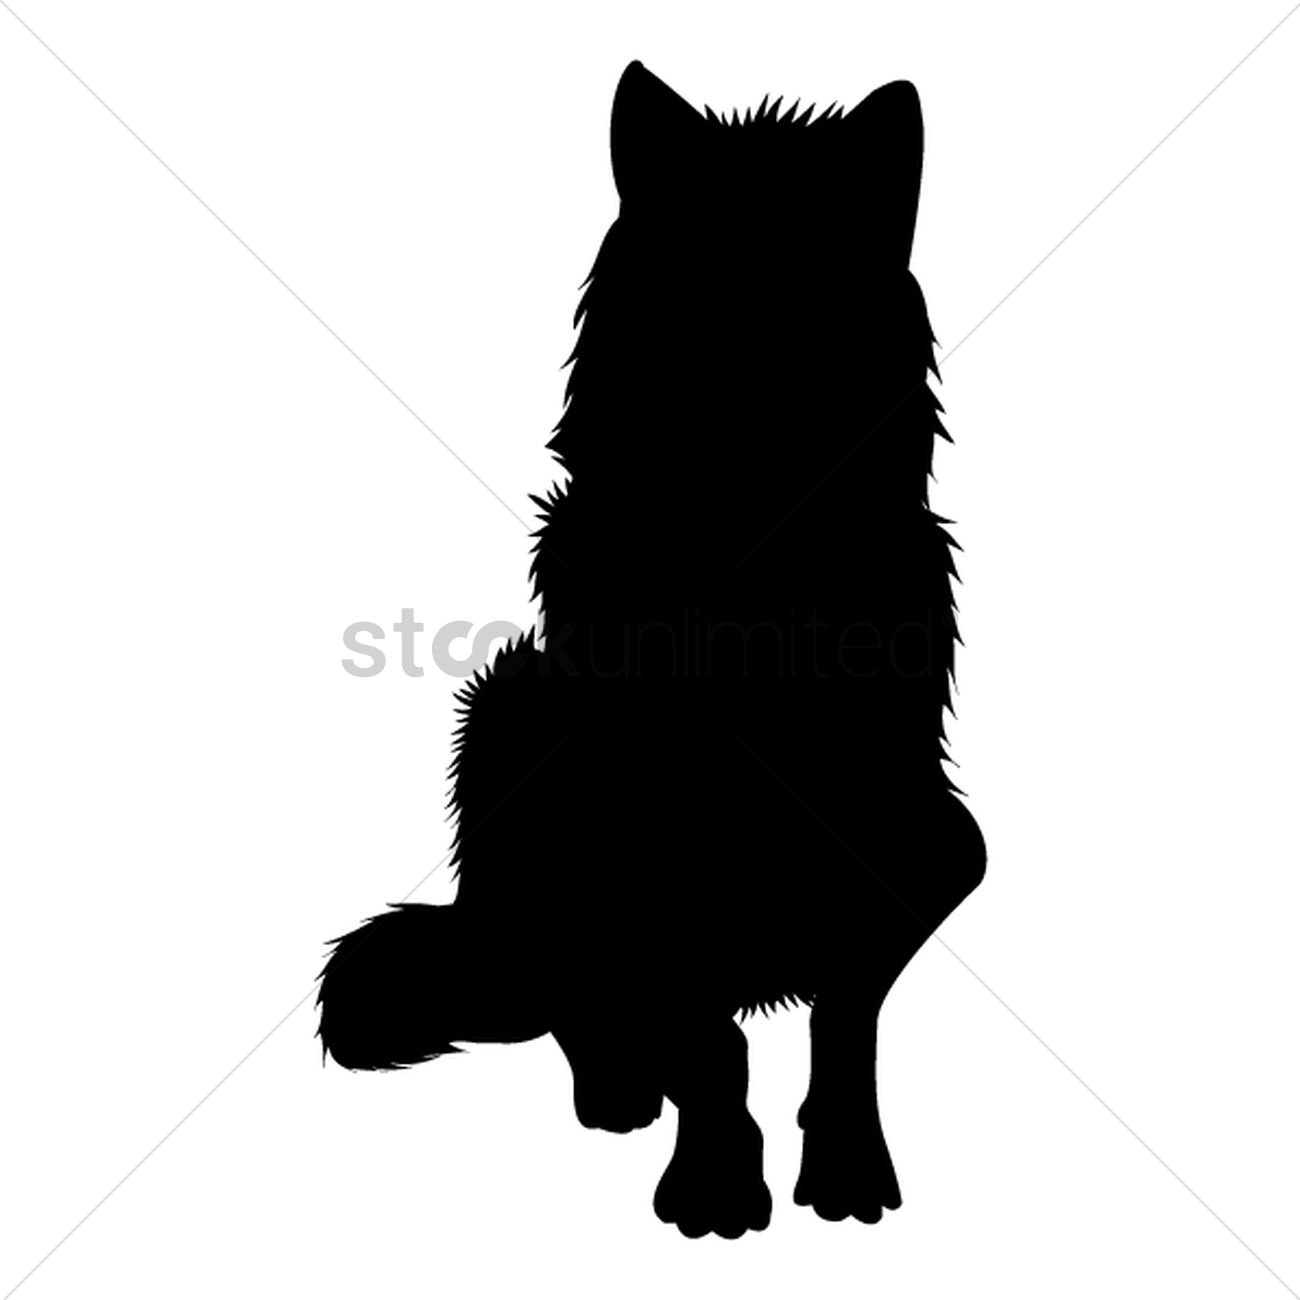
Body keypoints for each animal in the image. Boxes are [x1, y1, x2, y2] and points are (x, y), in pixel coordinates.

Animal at [317, 60, 986, 1239]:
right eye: (701, 255)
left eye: (808, 259)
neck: (748, 558)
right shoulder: (639, 832)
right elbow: (705, 1038)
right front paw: (716, 1179)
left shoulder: (922, 838)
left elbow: (846, 1008)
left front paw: (844, 1166)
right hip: (510, 709)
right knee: (573, 993)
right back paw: (620, 1087)